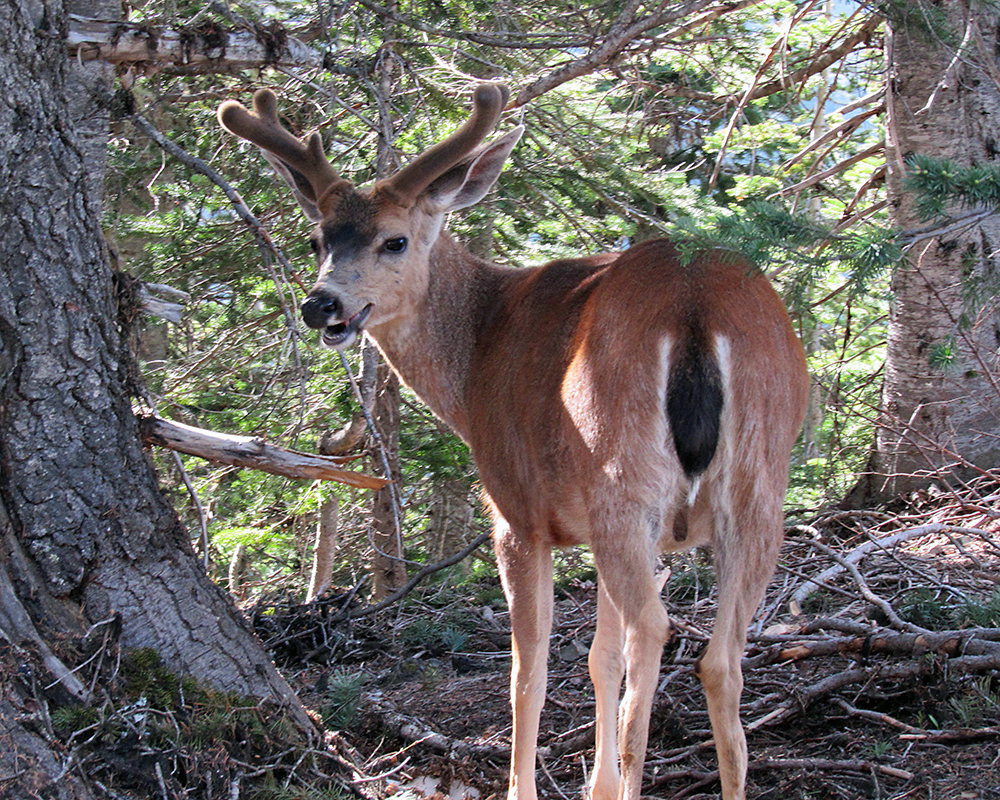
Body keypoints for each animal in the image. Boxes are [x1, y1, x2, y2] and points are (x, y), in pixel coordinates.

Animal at [217, 83, 804, 800]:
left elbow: (529, 672)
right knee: (719, 659)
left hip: (623, 478)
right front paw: (597, 785)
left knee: (654, 630)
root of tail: (695, 310)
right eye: (316, 239)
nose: (321, 304)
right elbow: (598, 658)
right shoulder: (593, 529)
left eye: (394, 240)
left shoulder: (516, 512)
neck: (475, 360)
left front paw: (529, 784)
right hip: (757, 480)